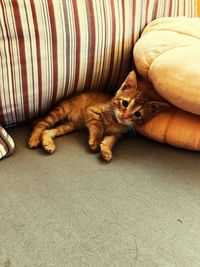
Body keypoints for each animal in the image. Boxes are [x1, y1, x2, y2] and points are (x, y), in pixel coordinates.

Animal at [28, 71, 169, 161]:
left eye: (137, 114)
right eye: (125, 103)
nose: (124, 116)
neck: (115, 121)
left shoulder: (118, 134)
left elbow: (111, 140)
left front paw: (106, 150)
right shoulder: (92, 111)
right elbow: (98, 127)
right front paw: (95, 141)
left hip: (70, 125)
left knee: (48, 131)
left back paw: (48, 144)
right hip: (62, 110)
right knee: (42, 124)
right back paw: (34, 139)